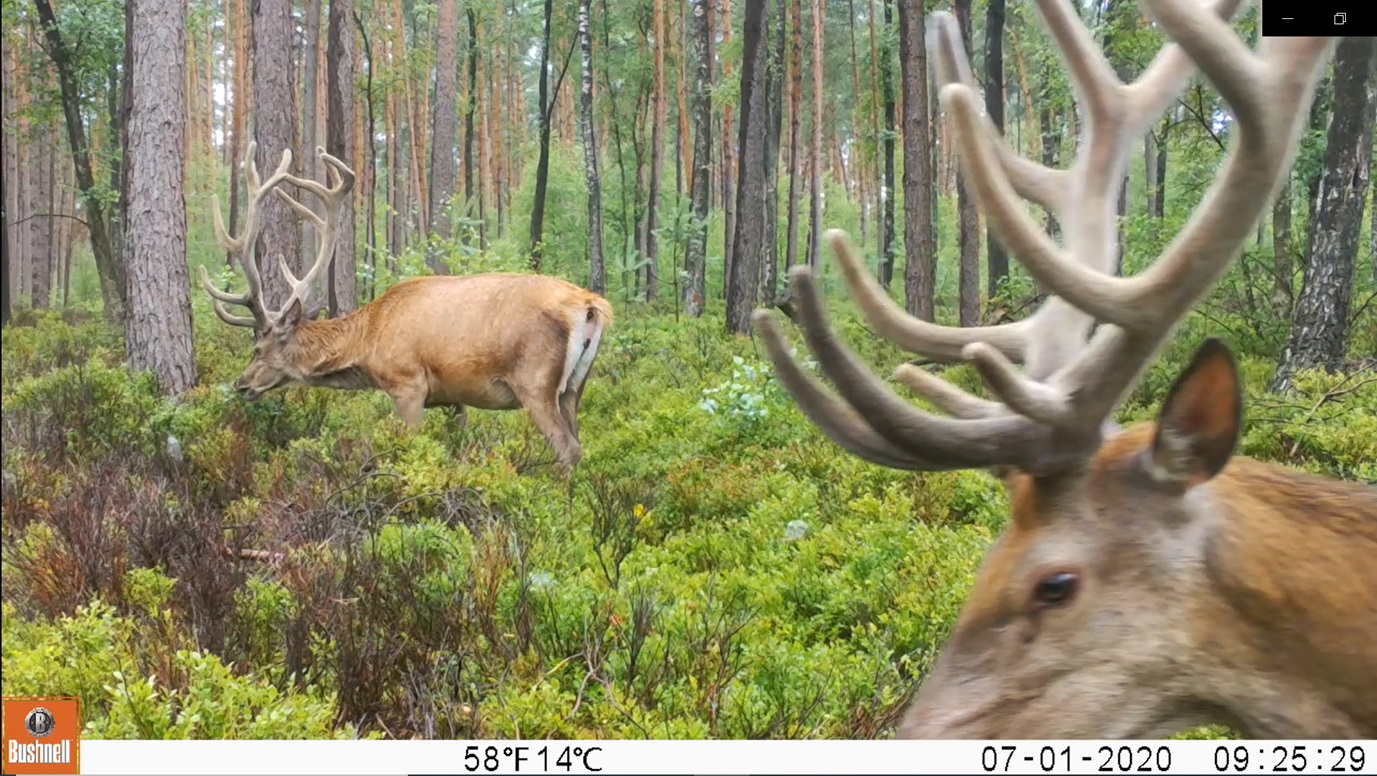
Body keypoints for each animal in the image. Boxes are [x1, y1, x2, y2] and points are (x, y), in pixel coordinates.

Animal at [199, 144, 614, 473]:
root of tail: (591, 306)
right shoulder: (453, 396)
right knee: (579, 442)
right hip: (575, 386)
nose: (241, 385)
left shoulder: (407, 383)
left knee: (568, 448)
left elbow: (407, 446)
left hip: (535, 381)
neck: (368, 341)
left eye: (259, 348)